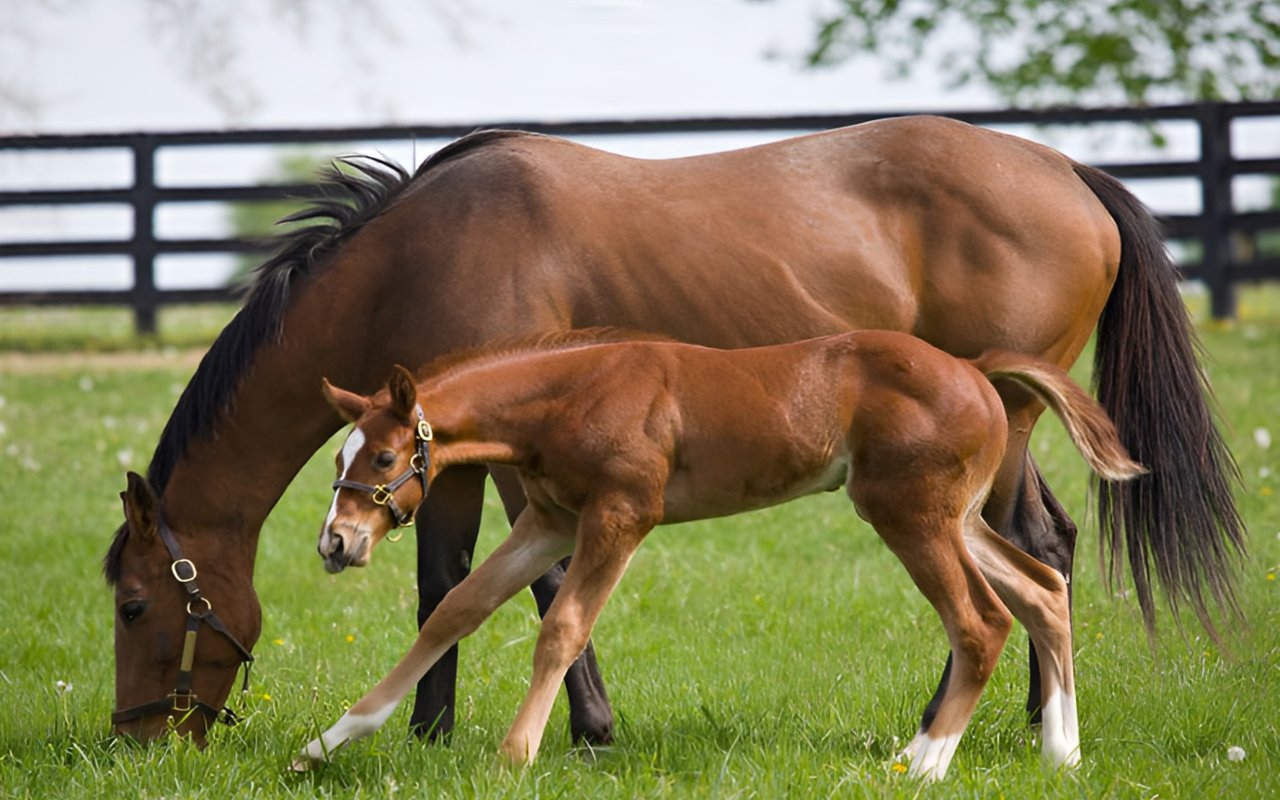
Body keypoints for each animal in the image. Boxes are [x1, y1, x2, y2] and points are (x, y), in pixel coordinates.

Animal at [295, 329, 1145, 779]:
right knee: (1042, 589)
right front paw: (328, 742)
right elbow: (455, 613)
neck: (573, 393)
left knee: (982, 620)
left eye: (382, 459)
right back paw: (1062, 751)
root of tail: (974, 370)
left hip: (911, 516)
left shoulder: (621, 516)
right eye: (338, 458)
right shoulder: (550, 520)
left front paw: (513, 756)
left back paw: (923, 763)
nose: (335, 543)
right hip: (956, 518)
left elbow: (563, 627)